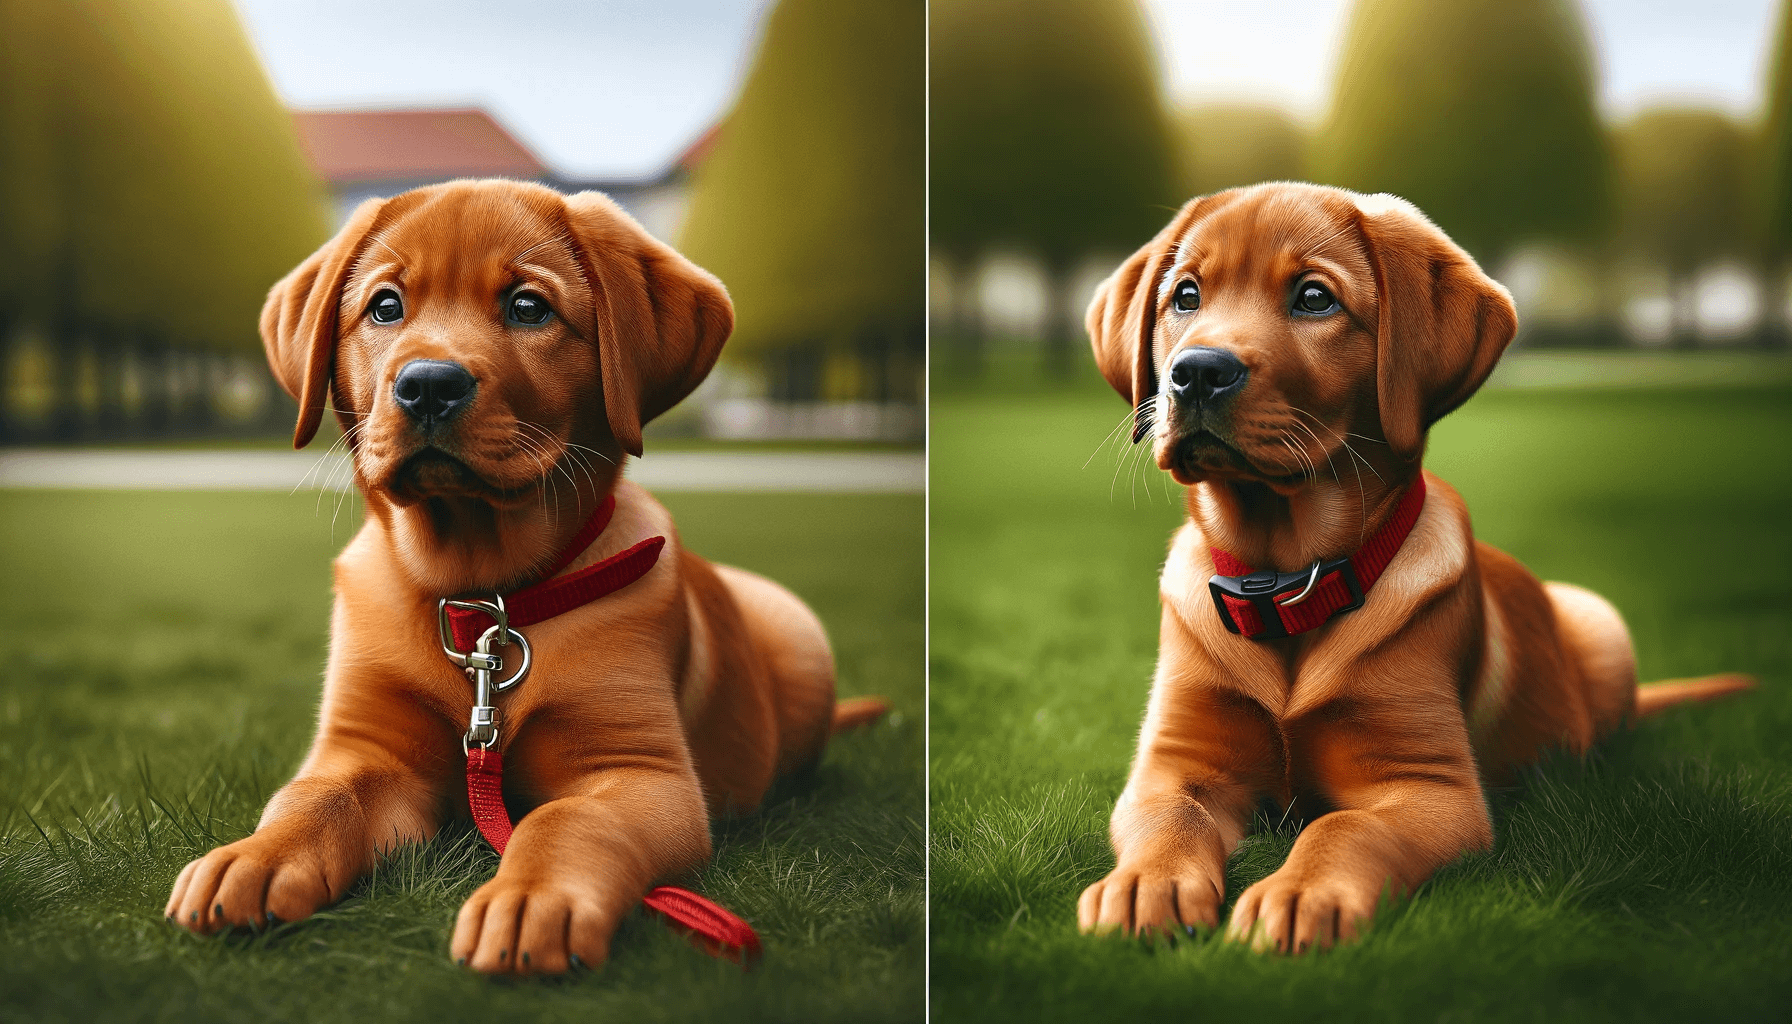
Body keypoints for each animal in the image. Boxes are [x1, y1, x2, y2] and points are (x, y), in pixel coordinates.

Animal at [159, 180, 881, 975]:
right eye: (385, 306)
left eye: (529, 307)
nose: (427, 385)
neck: (482, 593)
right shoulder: (366, 749)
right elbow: (312, 800)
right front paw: (252, 859)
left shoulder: (645, 774)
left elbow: (565, 820)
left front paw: (534, 898)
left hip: (797, 631)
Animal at [1075, 182, 1748, 954]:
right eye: (1185, 295)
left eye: (1314, 298)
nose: (1196, 372)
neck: (1284, 581)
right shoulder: (1171, 766)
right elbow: (1171, 818)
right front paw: (1141, 886)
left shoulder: (1431, 787)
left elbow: (1343, 826)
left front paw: (1301, 893)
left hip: (1599, 617)